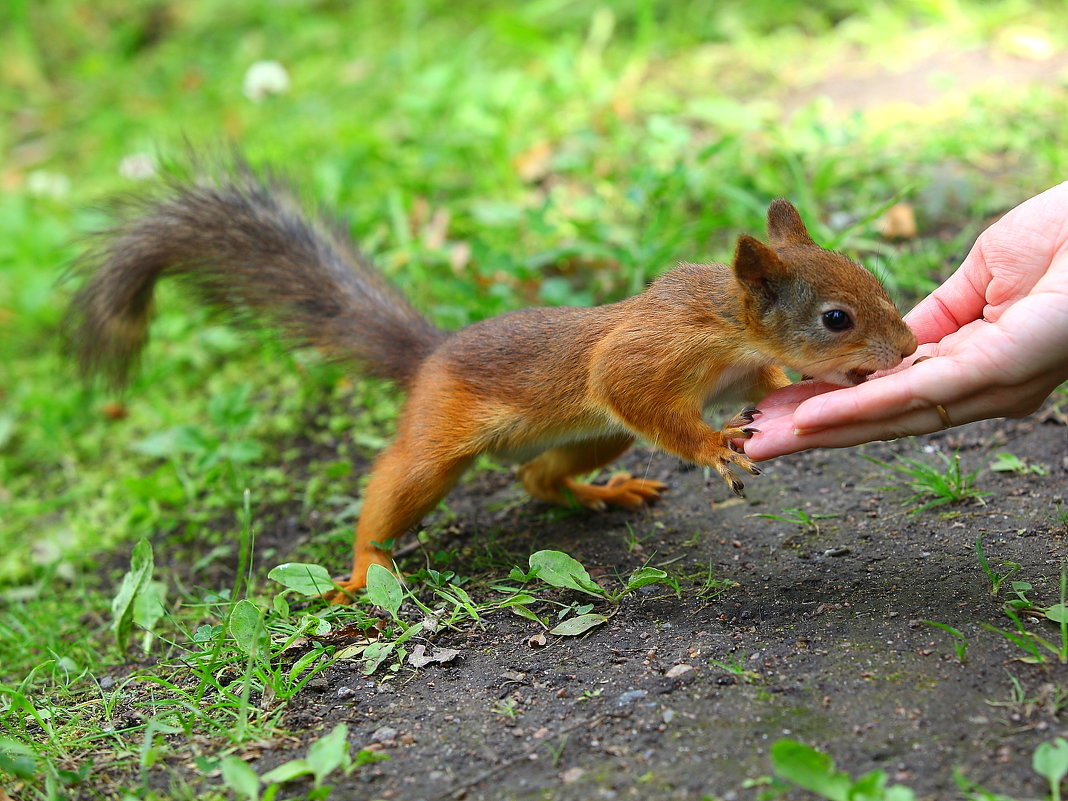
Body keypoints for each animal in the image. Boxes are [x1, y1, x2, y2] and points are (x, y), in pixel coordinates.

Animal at [66, 166, 918, 598]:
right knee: (397, 483)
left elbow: (762, 376)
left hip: (594, 435)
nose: (908, 345)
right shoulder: (646, 354)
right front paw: (712, 445)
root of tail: (429, 357)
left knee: (541, 478)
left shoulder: (735, 365)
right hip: (440, 444)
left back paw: (606, 491)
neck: (725, 327)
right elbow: (634, 388)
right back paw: (367, 568)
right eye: (837, 317)